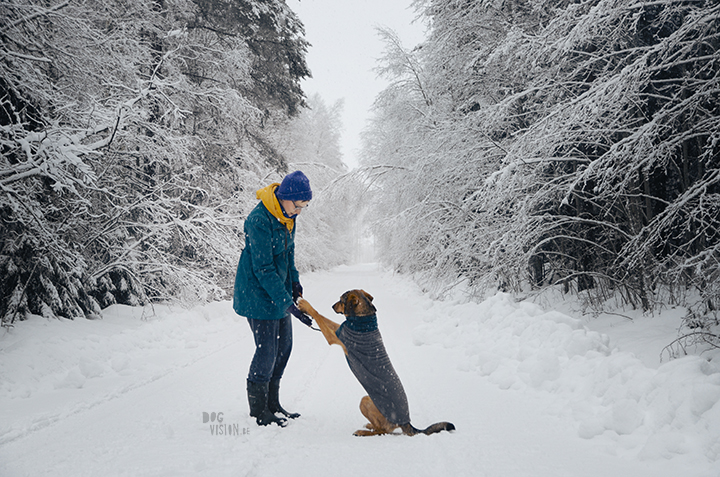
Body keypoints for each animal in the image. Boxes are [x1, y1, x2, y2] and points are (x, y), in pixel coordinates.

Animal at [296, 290, 452, 436]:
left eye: (341, 300)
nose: (332, 306)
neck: (363, 320)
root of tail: (405, 422)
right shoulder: (340, 329)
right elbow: (326, 319)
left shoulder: (335, 337)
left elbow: (318, 315)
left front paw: (305, 305)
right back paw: (369, 426)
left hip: (365, 401)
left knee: (382, 430)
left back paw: (363, 432)